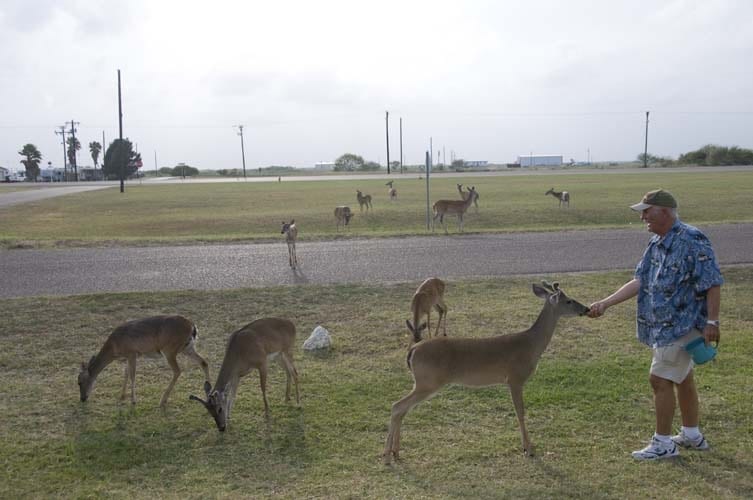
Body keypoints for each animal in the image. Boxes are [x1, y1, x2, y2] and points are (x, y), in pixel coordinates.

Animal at [77, 316, 209, 406]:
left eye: (79, 382)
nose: (82, 399)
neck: (114, 348)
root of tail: (193, 326)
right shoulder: (130, 356)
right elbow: (126, 372)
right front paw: (122, 396)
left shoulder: (132, 353)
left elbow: (132, 375)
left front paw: (133, 401)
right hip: (187, 348)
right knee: (203, 362)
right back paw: (209, 393)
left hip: (169, 349)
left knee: (177, 370)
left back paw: (162, 400)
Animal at [384, 282, 592, 464]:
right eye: (569, 301)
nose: (587, 309)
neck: (530, 346)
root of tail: (413, 350)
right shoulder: (515, 378)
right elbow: (520, 411)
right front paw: (529, 449)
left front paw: (527, 447)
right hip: (428, 381)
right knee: (397, 406)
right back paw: (387, 456)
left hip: (422, 382)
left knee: (402, 409)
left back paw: (395, 452)